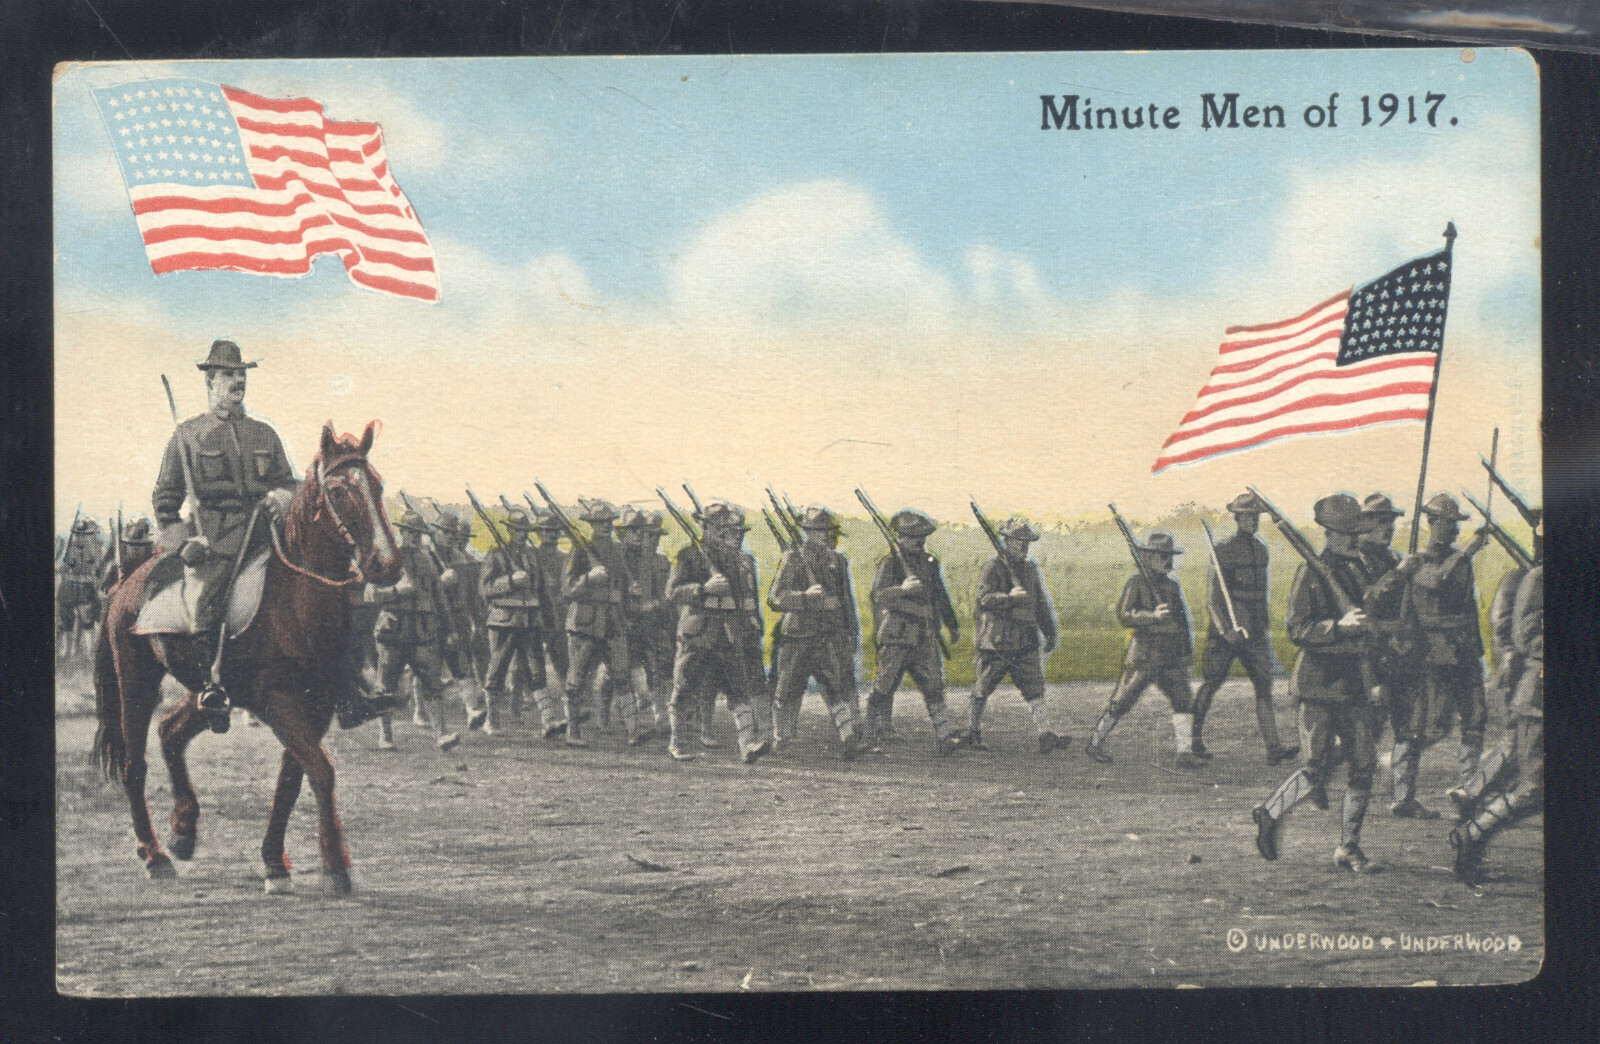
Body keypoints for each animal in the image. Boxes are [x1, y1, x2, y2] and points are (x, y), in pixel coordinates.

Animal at [93, 421, 401, 894]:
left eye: (377, 485)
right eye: (338, 490)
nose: (387, 565)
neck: (294, 599)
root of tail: (127, 580)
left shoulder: (317, 705)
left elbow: (292, 778)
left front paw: (275, 863)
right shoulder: (276, 703)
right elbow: (320, 770)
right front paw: (335, 867)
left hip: (210, 691)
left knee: (170, 731)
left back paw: (184, 831)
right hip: (136, 681)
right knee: (134, 764)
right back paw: (155, 855)